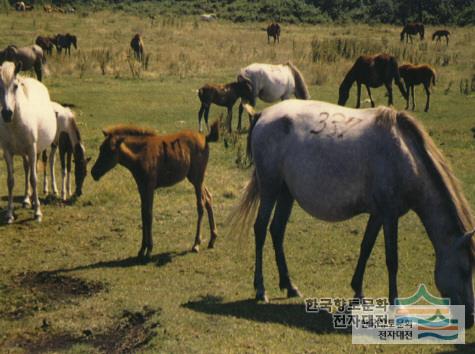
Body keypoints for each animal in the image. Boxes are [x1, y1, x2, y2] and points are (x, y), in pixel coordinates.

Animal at [0, 60, 56, 221]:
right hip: (24, 153)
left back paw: (36, 199)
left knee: (34, 169)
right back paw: (26, 199)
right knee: (26, 169)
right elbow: (10, 181)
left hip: (36, 151)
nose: (7, 114)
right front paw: (9, 214)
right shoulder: (7, 152)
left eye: (15, 86)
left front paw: (37, 212)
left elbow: (34, 178)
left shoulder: (31, 149)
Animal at [91, 120, 221, 258]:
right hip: (195, 178)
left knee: (200, 205)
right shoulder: (141, 187)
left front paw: (149, 249)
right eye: (100, 148)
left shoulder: (149, 187)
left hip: (197, 178)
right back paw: (212, 239)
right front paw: (142, 249)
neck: (141, 154)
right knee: (208, 198)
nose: (94, 172)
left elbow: (148, 214)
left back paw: (196, 244)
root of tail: (205, 138)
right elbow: (143, 214)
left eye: (110, 150)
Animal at [229, 97, 475, 330]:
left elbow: (366, 247)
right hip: (270, 188)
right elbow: (392, 259)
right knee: (261, 229)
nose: (470, 318)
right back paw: (261, 289)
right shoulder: (389, 215)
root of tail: (263, 115)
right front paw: (396, 306)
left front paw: (358, 292)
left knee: (277, 230)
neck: (405, 156)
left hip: (285, 192)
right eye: (465, 270)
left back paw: (289, 286)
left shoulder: (378, 214)